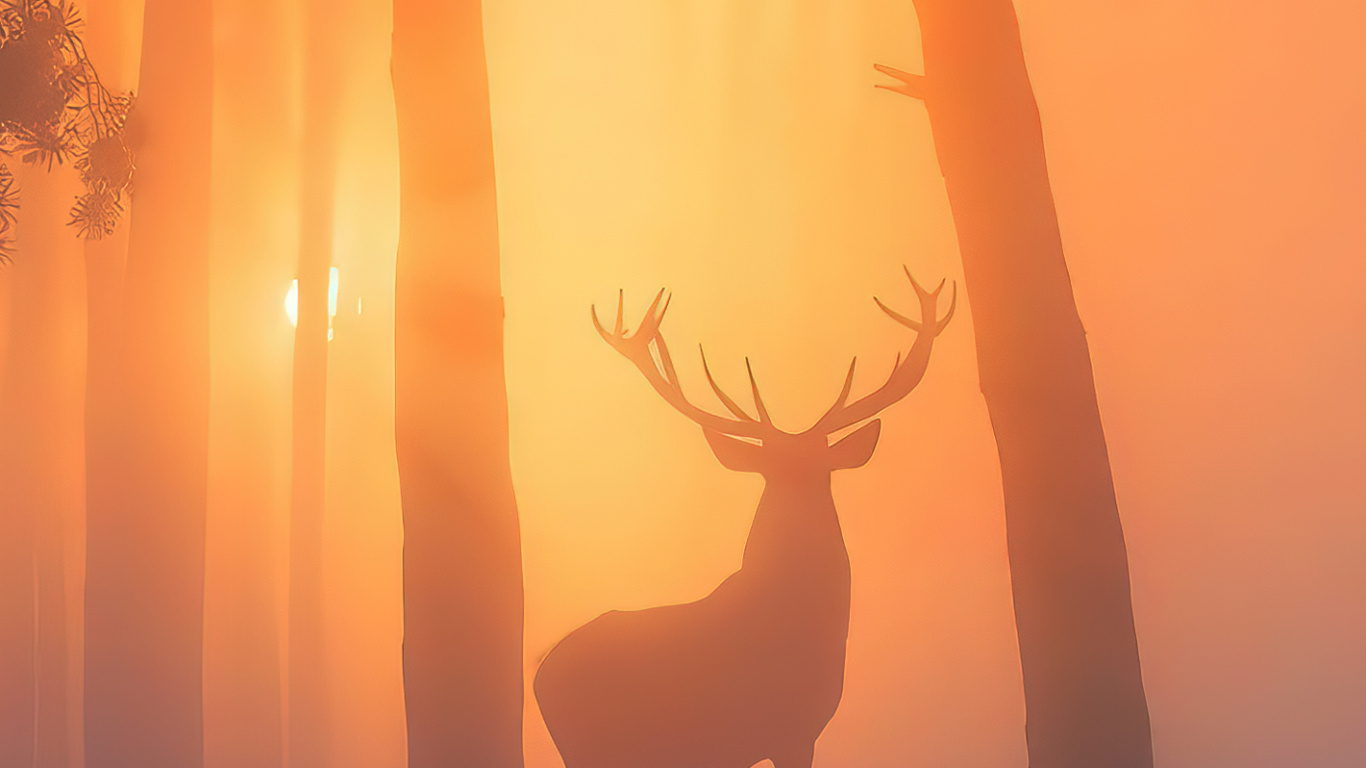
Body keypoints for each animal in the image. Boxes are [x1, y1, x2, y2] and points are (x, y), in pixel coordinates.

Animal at [533, 270, 956, 768]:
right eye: (777, 470)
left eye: (819, 470)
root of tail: (540, 675)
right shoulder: (780, 731)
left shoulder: (794, 733)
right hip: (597, 747)